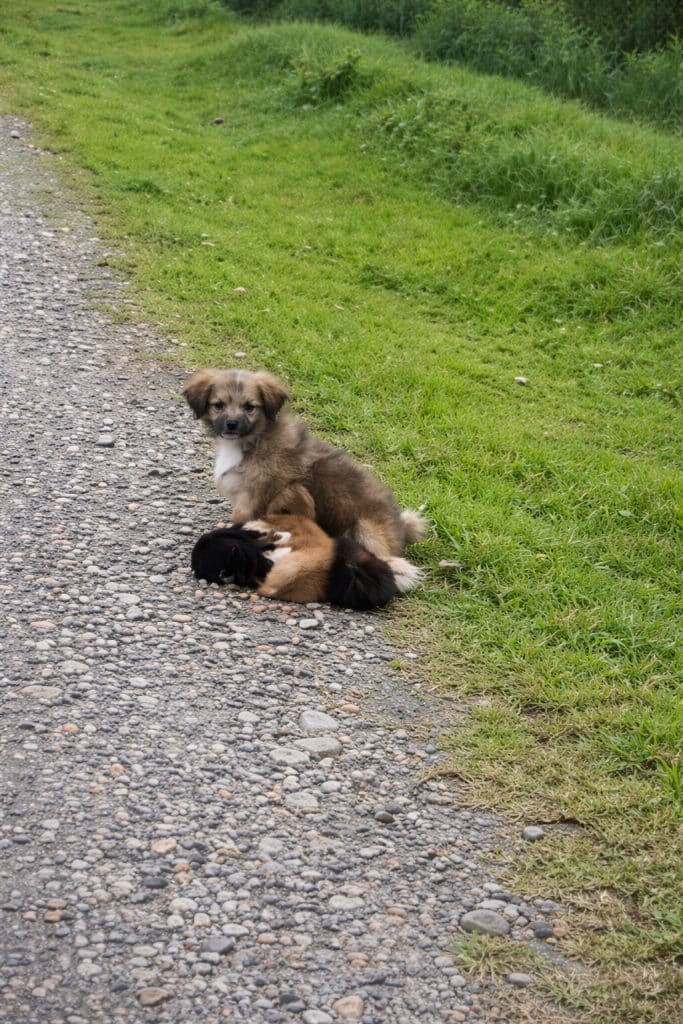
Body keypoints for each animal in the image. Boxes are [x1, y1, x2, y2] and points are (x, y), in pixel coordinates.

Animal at [183, 369, 425, 585]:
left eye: (249, 407)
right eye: (219, 405)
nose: (231, 424)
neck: (253, 439)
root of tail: (401, 526)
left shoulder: (262, 494)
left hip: (365, 528)